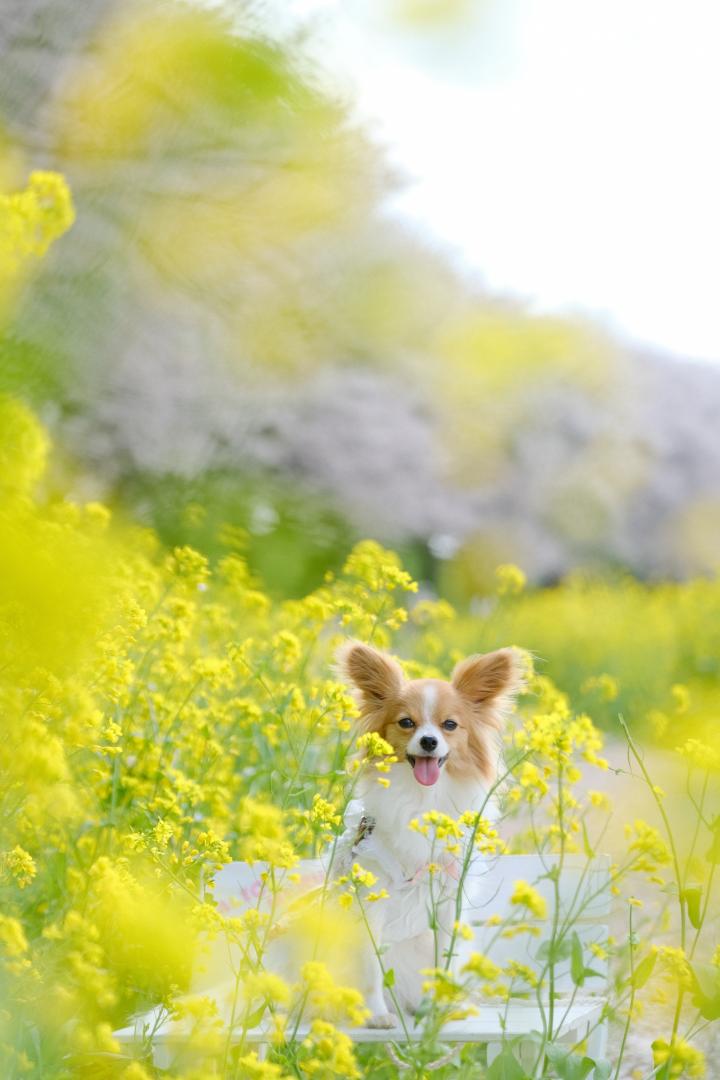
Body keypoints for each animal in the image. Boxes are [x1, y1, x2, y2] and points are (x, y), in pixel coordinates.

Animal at [334, 639, 520, 1028]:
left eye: (450, 725)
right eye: (407, 723)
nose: (430, 741)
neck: (422, 799)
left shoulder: (448, 904)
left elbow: (442, 961)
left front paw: (437, 1007)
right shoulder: (370, 902)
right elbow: (371, 967)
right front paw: (377, 1015)